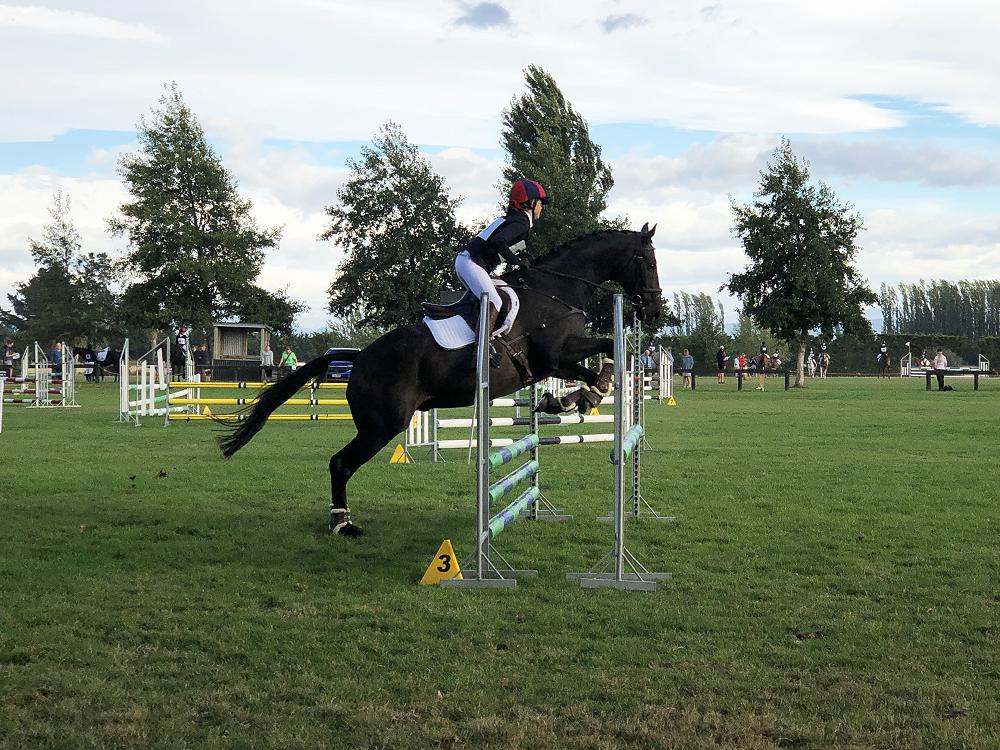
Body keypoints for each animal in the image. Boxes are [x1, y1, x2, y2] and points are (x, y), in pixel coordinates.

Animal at [219, 225, 663, 537]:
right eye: (649, 262)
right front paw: (588, 393)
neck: (556, 290)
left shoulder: (553, 363)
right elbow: (609, 346)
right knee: (340, 464)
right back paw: (343, 524)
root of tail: (360, 357)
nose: (654, 310)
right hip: (383, 425)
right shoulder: (553, 354)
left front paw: (569, 400)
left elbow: (596, 359)